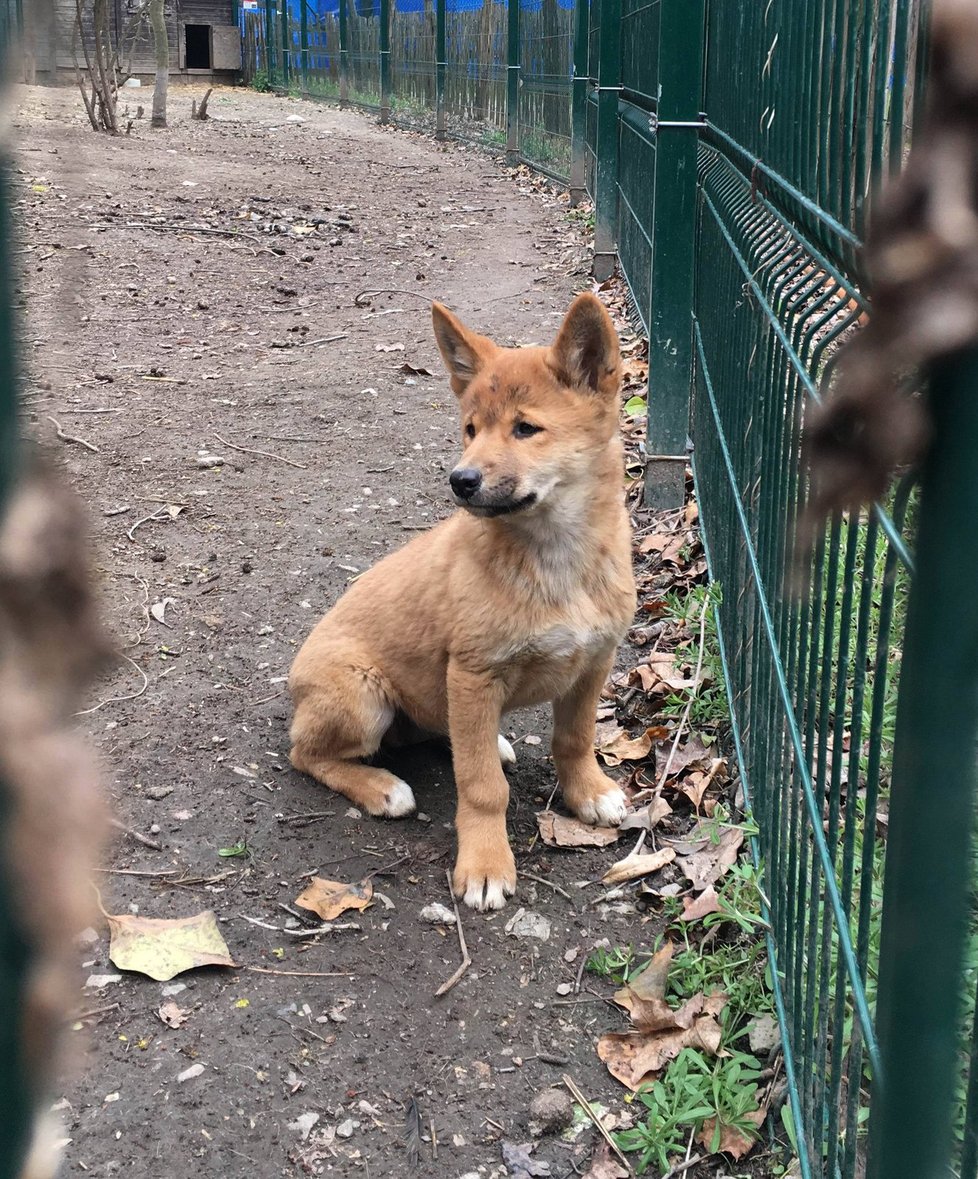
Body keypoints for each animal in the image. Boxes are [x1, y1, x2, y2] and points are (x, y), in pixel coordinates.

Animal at [291, 294, 641, 910]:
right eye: (470, 430)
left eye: (527, 429)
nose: (461, 480)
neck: (556, 558)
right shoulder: (475, 674)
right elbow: (481, 788)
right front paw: (484, 863)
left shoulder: (593, 663)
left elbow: (574, 738)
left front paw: (588, 792)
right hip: (362, 697)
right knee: (303, 753)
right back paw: (380, 787)